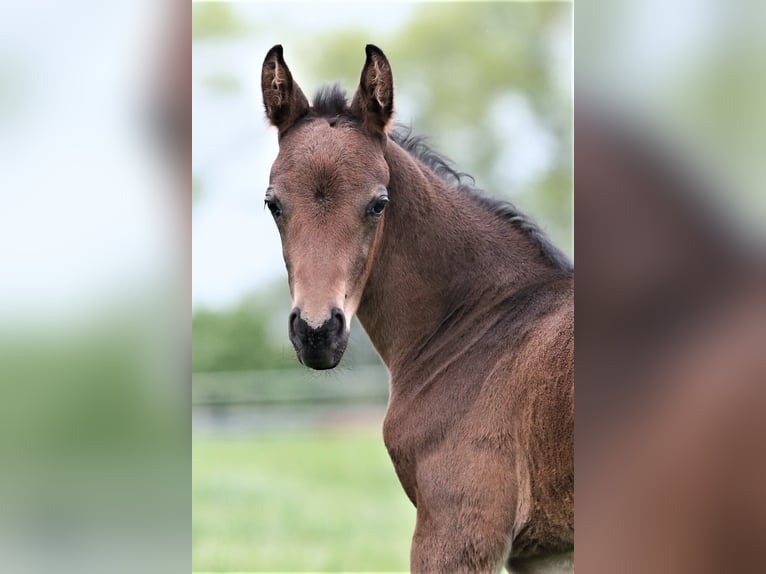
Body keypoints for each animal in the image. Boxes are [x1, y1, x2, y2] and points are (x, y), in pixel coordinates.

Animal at [260, 44, 574, 573]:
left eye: (378, 203)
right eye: (273, 204)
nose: (317, 332)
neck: (484, 321)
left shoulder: (457, 529)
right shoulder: (547, 552)